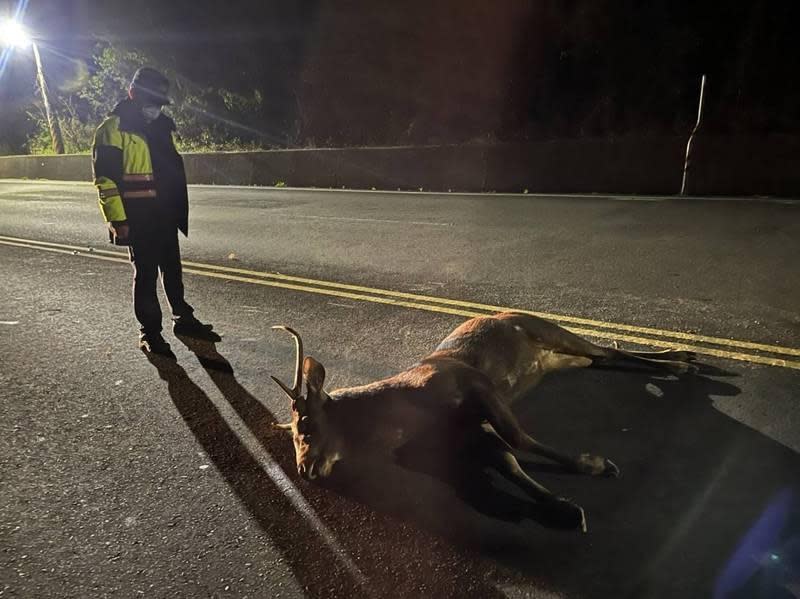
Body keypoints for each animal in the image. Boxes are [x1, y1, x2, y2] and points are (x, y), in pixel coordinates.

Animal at [268, 312, 692, 532]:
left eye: (305, 425)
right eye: (292, 433)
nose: (303, 469)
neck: (408, 417)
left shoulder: (475, 385)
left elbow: (518, 439)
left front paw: (595, 465)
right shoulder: (464, 432)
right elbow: (506, 461)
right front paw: (563, 507)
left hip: (547, 329)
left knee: (603, 348)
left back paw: (679, 359)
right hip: (560, 359)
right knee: (600, 357)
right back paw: (678, 361)